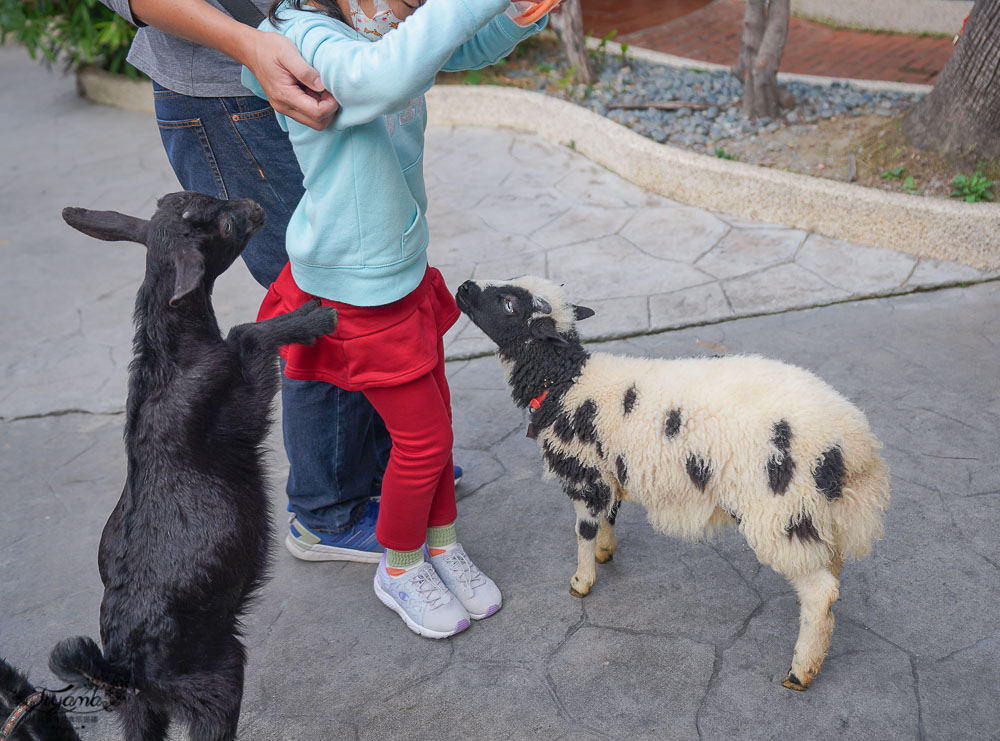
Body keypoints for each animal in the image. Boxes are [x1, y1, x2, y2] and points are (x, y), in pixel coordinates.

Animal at [49, 192, 336, 740]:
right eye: (221, 225)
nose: (255, 206)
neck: (172, 354)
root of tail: (124, 666)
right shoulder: (240, 402)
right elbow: (247, 335)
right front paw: (311, 317)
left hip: (140, 711)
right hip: (215, 680)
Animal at [456, 274, 892, 692]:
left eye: (509, 304)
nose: (462, 286)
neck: (565, 380)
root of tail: (854, 445)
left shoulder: (586, 472)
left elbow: (583, 529)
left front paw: (581, 581)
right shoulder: (610, 468)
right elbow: (610, 514)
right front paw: (605, 552)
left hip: (782, 511)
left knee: (820, 592)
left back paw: (801, 672)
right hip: (815, 514)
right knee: (830, 572)